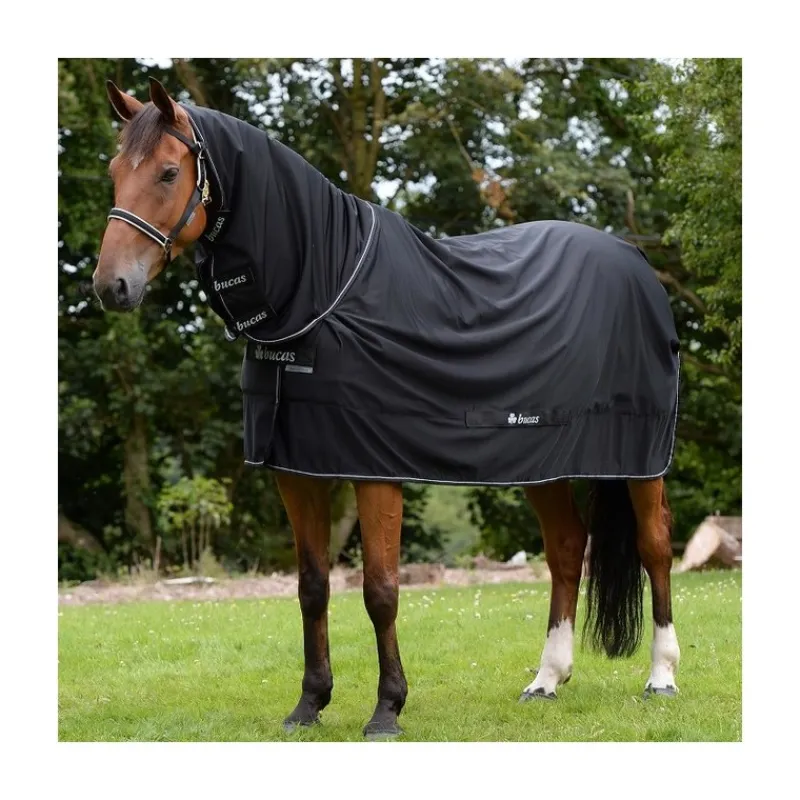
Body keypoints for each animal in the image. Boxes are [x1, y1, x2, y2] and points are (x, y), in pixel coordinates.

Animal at [93, 77, 681, 739]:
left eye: (169, 172)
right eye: (114, 171)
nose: (111, 285)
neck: (324, 289)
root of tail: (635, 263)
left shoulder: (375, 468)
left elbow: (380, 590)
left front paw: (387, 709)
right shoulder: (298, 470)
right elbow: (313, 586)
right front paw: (310, 704)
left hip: (641, 458)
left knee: (655, 545)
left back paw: (661, 676)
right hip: (541, 459)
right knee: (564, 548)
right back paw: (546, 680)